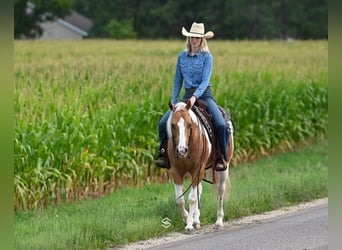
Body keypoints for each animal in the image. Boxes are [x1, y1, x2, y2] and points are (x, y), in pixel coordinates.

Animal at [166, 98, 235, 233]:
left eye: (189, 125)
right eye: (172, 125)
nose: (181, 151)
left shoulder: (197, 169)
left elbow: (192, 198)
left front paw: (189, 225)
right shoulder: (176, 172)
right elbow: (179, 199)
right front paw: (187, 218)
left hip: (223, 168)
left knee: (220, 191)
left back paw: (218, 222)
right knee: (199, 191)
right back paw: (197, 220)